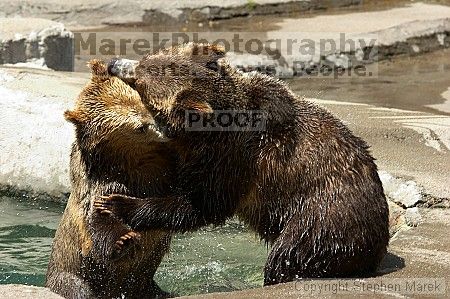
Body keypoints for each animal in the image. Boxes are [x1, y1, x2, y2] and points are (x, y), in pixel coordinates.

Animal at [45, 59, 176, 298]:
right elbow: (99, 215)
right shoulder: (103, 180)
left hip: (144, 284)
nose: (169, 129)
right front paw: (126, 240)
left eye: (144, 102)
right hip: (73, 278)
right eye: (140, 127)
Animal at [96, 44, 390, 286]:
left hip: (322, 217)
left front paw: (118, 203)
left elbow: (202, 204)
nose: (114, 62)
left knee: (290, 254)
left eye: (140, 81)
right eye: (147, 59)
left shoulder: (234, 158)